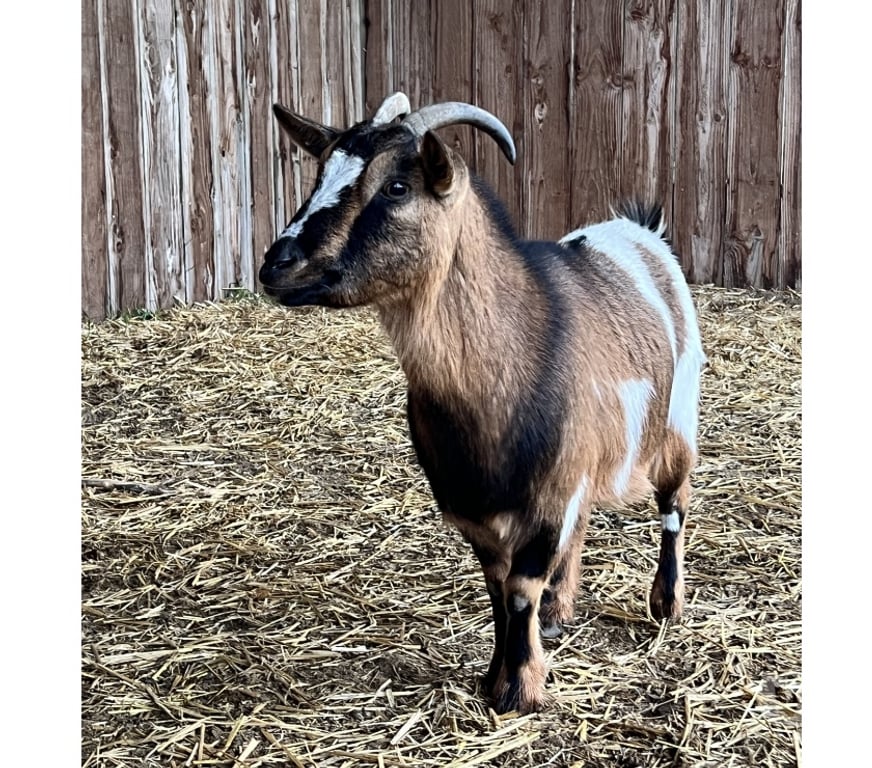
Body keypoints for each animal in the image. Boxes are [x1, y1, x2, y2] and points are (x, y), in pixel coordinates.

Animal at [259, 92, 705, 714]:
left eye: (397, 186)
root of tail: (641, 231)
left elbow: (519, 589)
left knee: (674, 506)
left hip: (676, 423)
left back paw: (666, 604)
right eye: (319, 174)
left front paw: (519, 690)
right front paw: (498, 673)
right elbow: (497, 590)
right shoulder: (475, 505)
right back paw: (560, 612)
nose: (278, 265)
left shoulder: (549, 497)